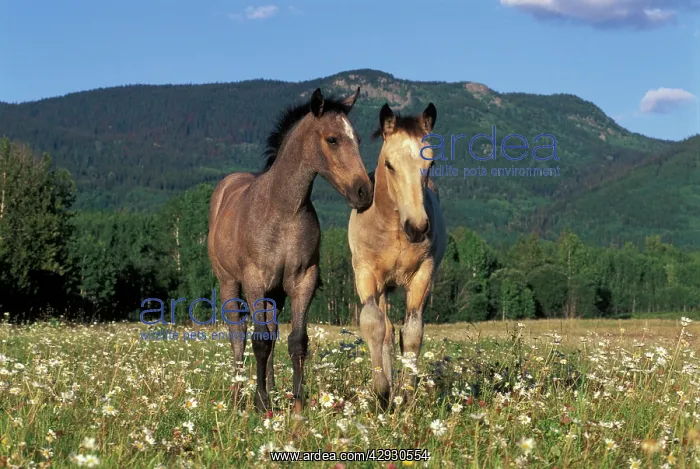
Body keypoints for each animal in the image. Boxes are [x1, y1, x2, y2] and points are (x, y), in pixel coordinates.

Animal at [207, 87, 373, 413]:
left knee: (272, 333)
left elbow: (297, 341)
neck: (284, 210)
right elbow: (258, 340)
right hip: (230, 283)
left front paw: (297, 405)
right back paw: (237, 394)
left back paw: (270, 387)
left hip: (276, 294)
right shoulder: (255, 281)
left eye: (358, 139)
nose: (364, 192)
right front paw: (261, 404)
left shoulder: (302, 280)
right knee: (238, 335)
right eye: (332, 139)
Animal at [348, 102, 447, 408]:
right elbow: (373, 325)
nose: (417, 228)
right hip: (382, 287)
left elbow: (413, 332)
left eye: (431, 164)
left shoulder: (422, 275)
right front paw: (381, 390)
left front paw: (406, 392)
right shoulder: (366, 274)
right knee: (386, 331)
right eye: (389, 165)